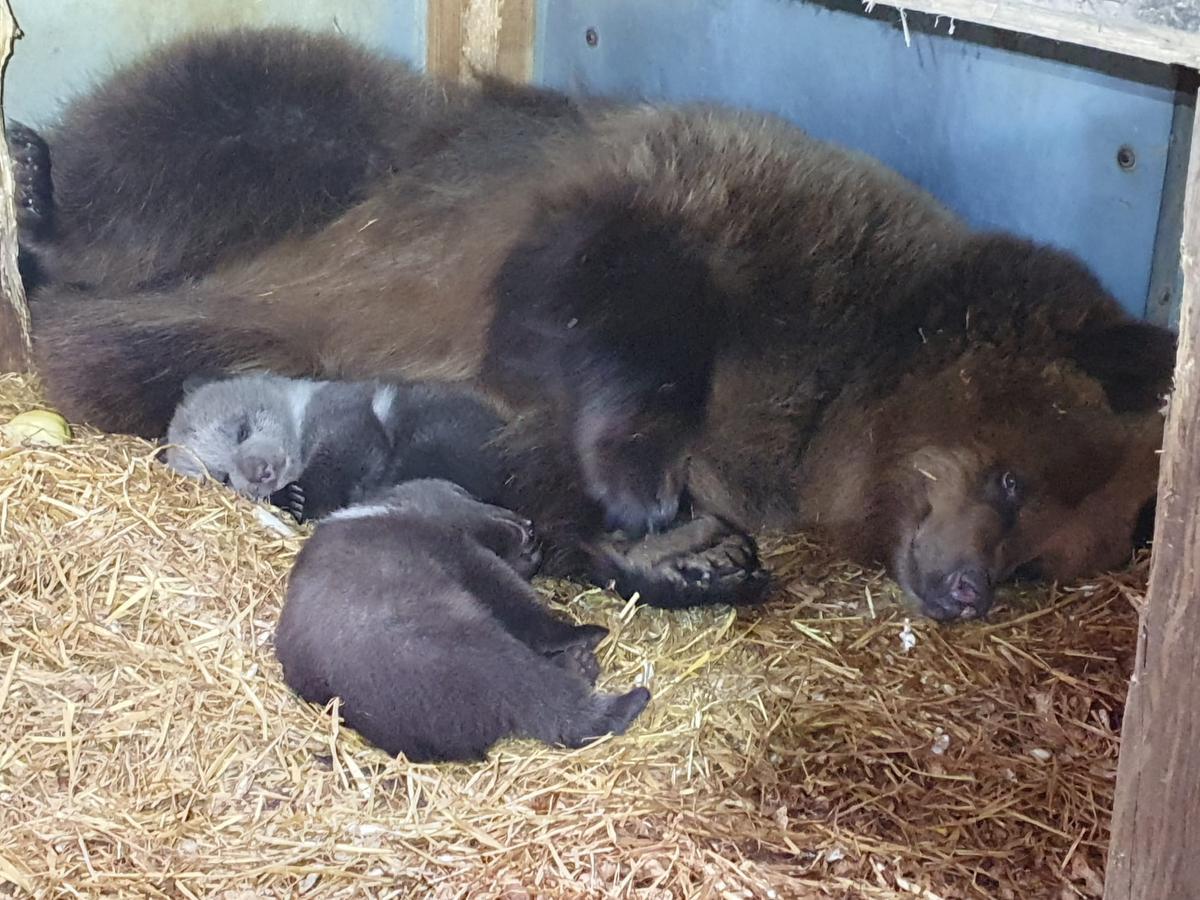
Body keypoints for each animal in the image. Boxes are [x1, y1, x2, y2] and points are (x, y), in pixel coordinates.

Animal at [9, 26, 1171, 619]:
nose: (967, 589)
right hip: (335, 146)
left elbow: (509, 480)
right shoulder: (719, 211)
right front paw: (646, 491)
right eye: (1015, 480)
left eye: (1039, 561)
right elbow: (607, 289)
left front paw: (691, 558)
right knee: (214, 147)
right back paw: (35, 197)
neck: (838, 398)